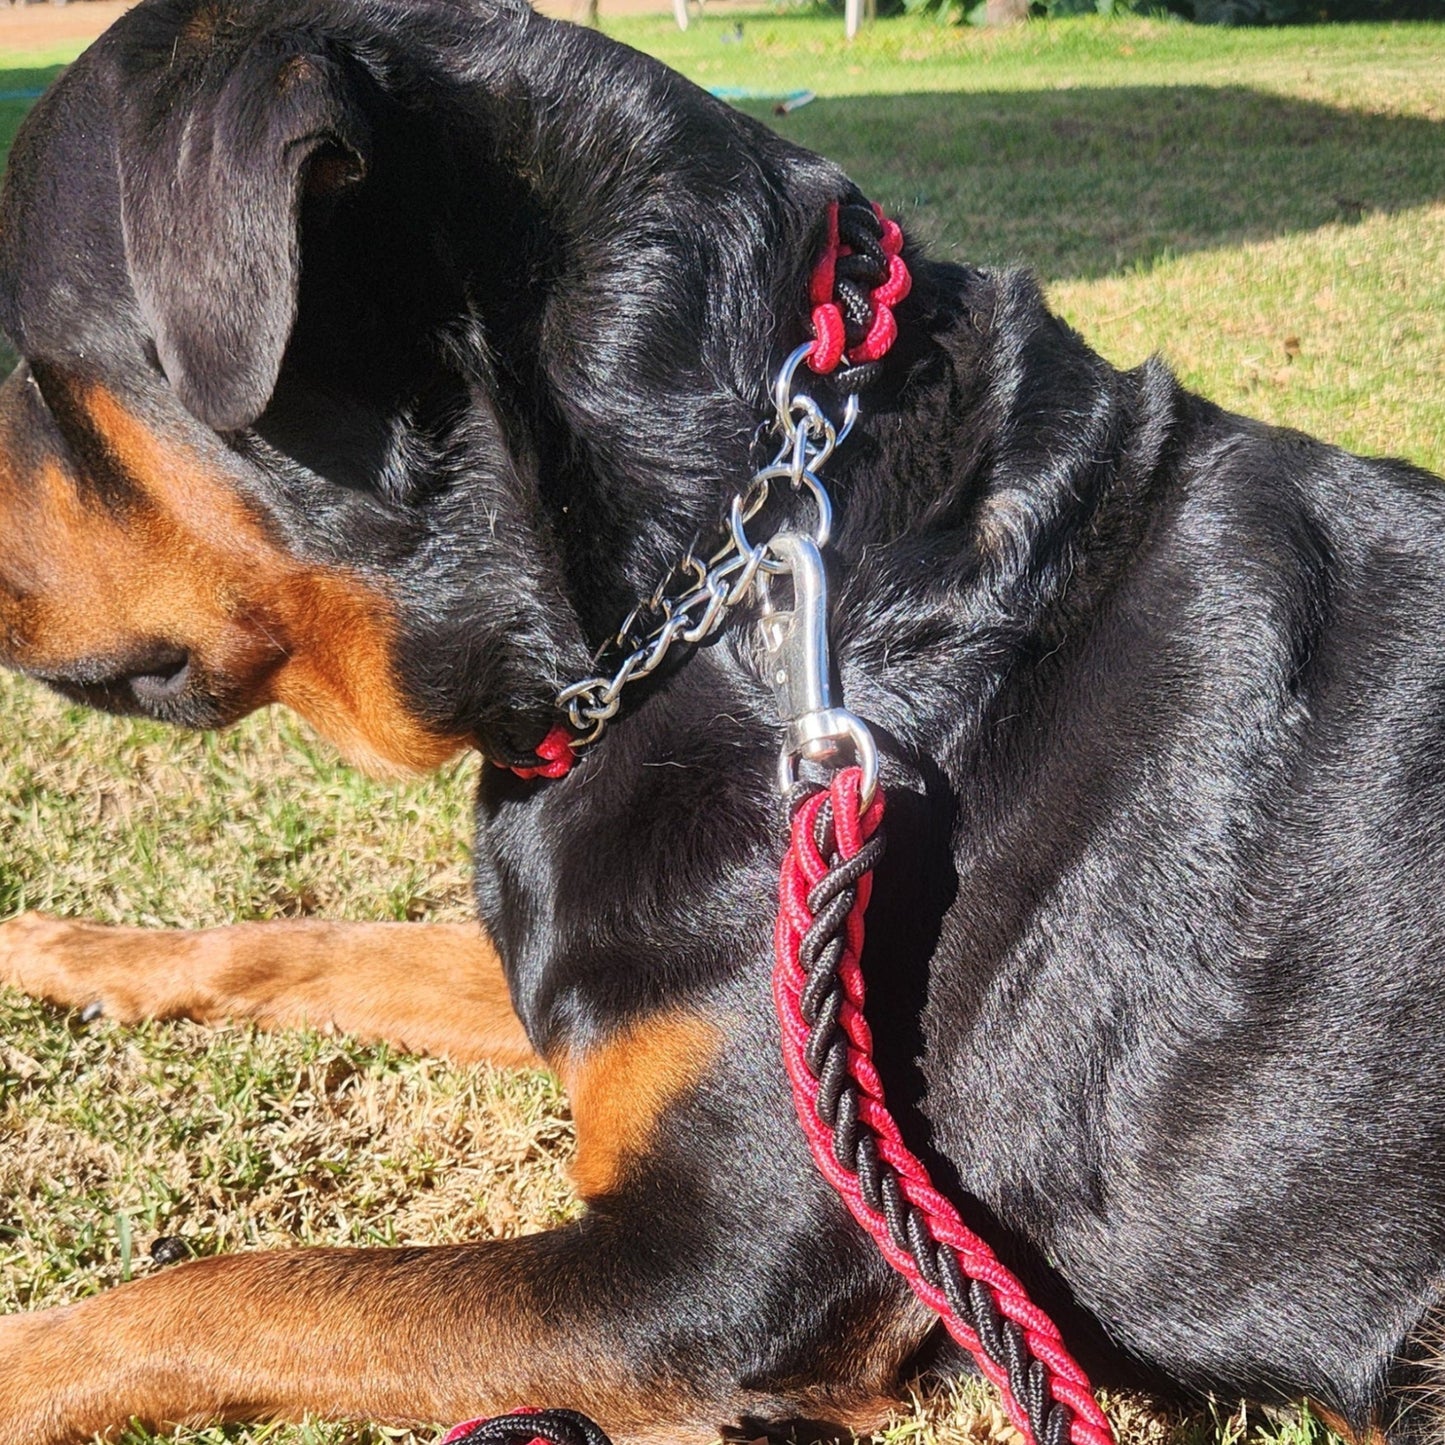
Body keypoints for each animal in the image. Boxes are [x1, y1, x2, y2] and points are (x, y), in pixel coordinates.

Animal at [2, 0, 1445, 1439]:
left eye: (25, 360)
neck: (693, 597)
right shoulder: (579, 975)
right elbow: (303, 942)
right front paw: (60, 945)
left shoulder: (714, 1270)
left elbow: (246, 1288)